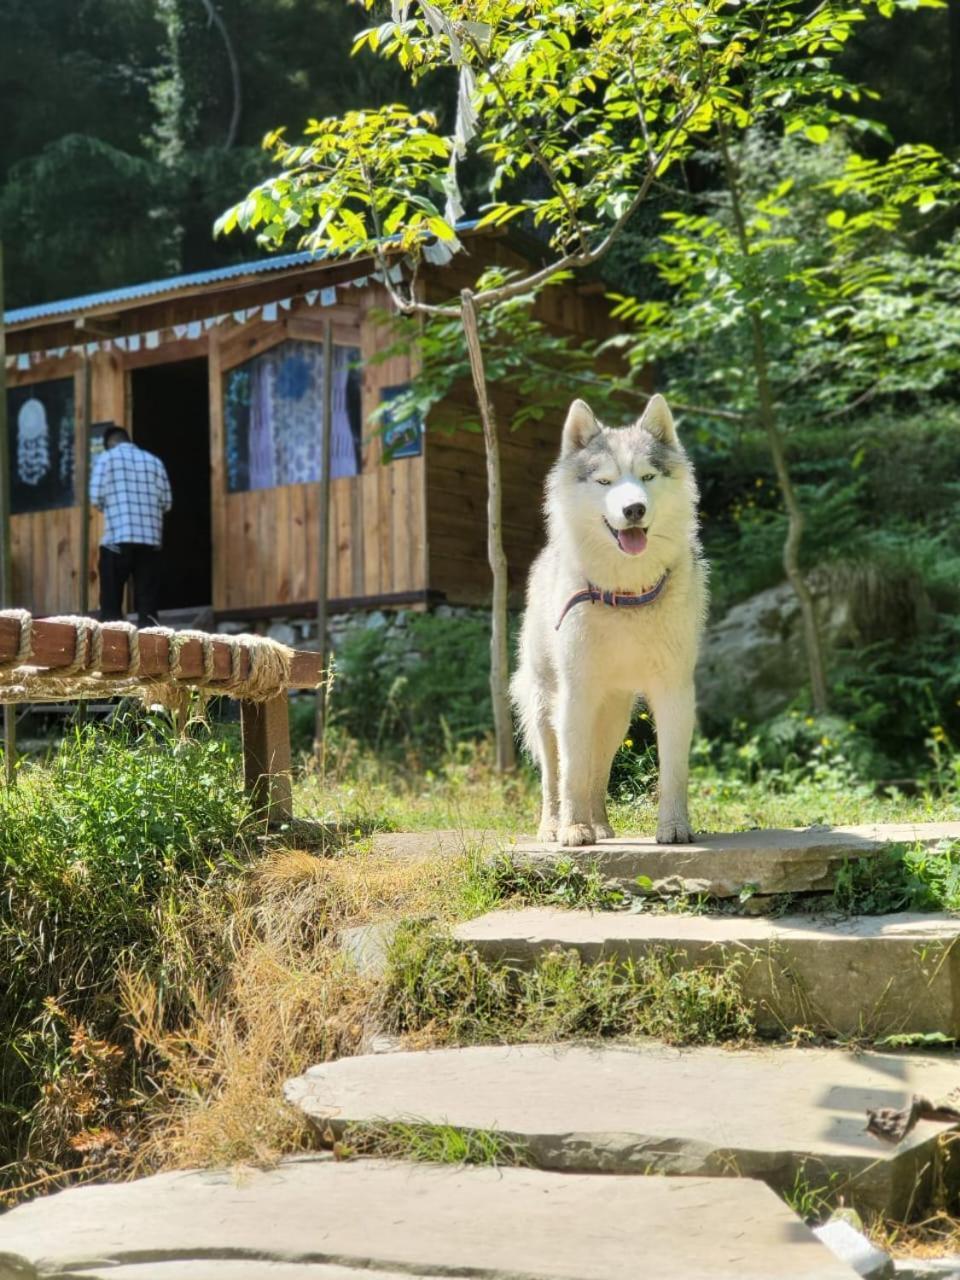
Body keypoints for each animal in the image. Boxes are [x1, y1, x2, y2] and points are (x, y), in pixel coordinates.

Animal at [512, 394, 706, 844]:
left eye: (647, 476)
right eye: (604, 482)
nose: (633, 508)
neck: (626, 596)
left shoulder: (675, 692)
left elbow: (673, 771)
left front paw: (675, 829)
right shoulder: (575, 695)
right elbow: (570, 773)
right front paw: (573, 830)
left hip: (615, 718)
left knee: (599, 771)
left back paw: (601, 825)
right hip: (547, 706)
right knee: (554, 775)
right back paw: (554, 827)